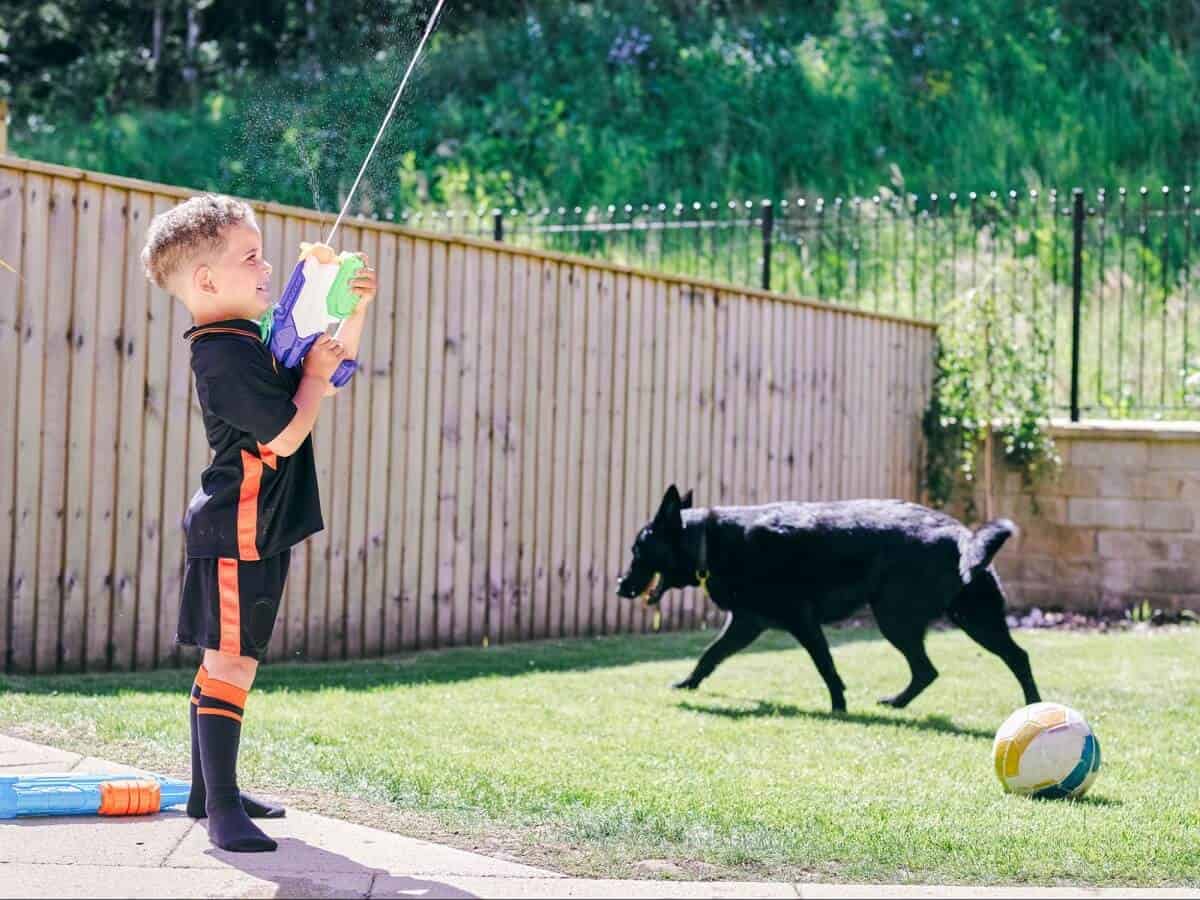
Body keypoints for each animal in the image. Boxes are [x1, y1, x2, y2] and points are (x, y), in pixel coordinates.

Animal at [619, 489, 1041, 715]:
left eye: (637, 550)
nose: (619, 585)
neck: (709, 540)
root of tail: (961, 535)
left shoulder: (800, 621)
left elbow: (826, 667)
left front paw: (838, 707)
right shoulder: (746, 624)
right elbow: (709, 655)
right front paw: (688, 684)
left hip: (899, 620)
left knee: (967, 664)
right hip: (970, 619)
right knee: (971, 664)